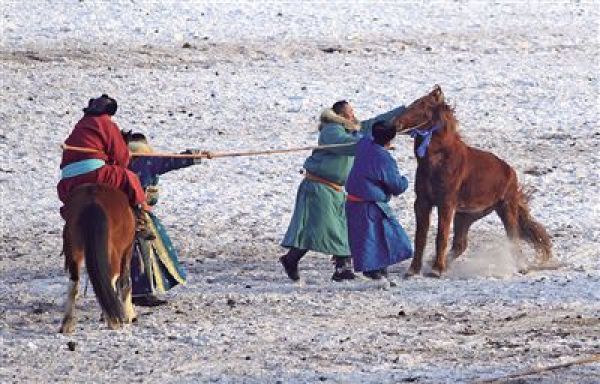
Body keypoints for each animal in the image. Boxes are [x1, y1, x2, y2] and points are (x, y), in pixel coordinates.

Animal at [59, 184, 137, 332]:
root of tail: (93, 202)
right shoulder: (127, 251)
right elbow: (125, 282)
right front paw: (129, 315)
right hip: (115, 254)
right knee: (111, 279)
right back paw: (113, 320)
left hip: (74, 251)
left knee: (74, 283)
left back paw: (67, 323)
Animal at [394, 85, 552, 276]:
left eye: (424, 105)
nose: (396, 124)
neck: (440, 161)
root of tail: (511, 171)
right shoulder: (423, 202)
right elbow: (420, 237)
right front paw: (414, 270)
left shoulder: (445, 204)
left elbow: (441, 236)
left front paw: (436, 270)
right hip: (466, 216)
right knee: (460, 245)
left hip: (506, 209)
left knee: (513, 239)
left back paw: (521, 267)